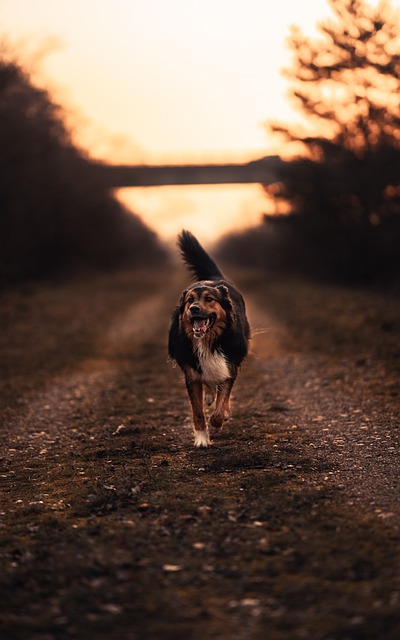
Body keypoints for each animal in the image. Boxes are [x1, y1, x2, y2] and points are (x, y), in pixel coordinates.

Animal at [168, 229, 250, 444]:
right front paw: (201, 438)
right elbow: (197, 411)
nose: (194, 309)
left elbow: (222, 402)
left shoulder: (229, 364)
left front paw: (215, 424)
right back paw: (209, 396)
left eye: (209, 299)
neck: (208, 341)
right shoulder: (191, 373)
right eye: (190, 300)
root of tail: (214, 277)